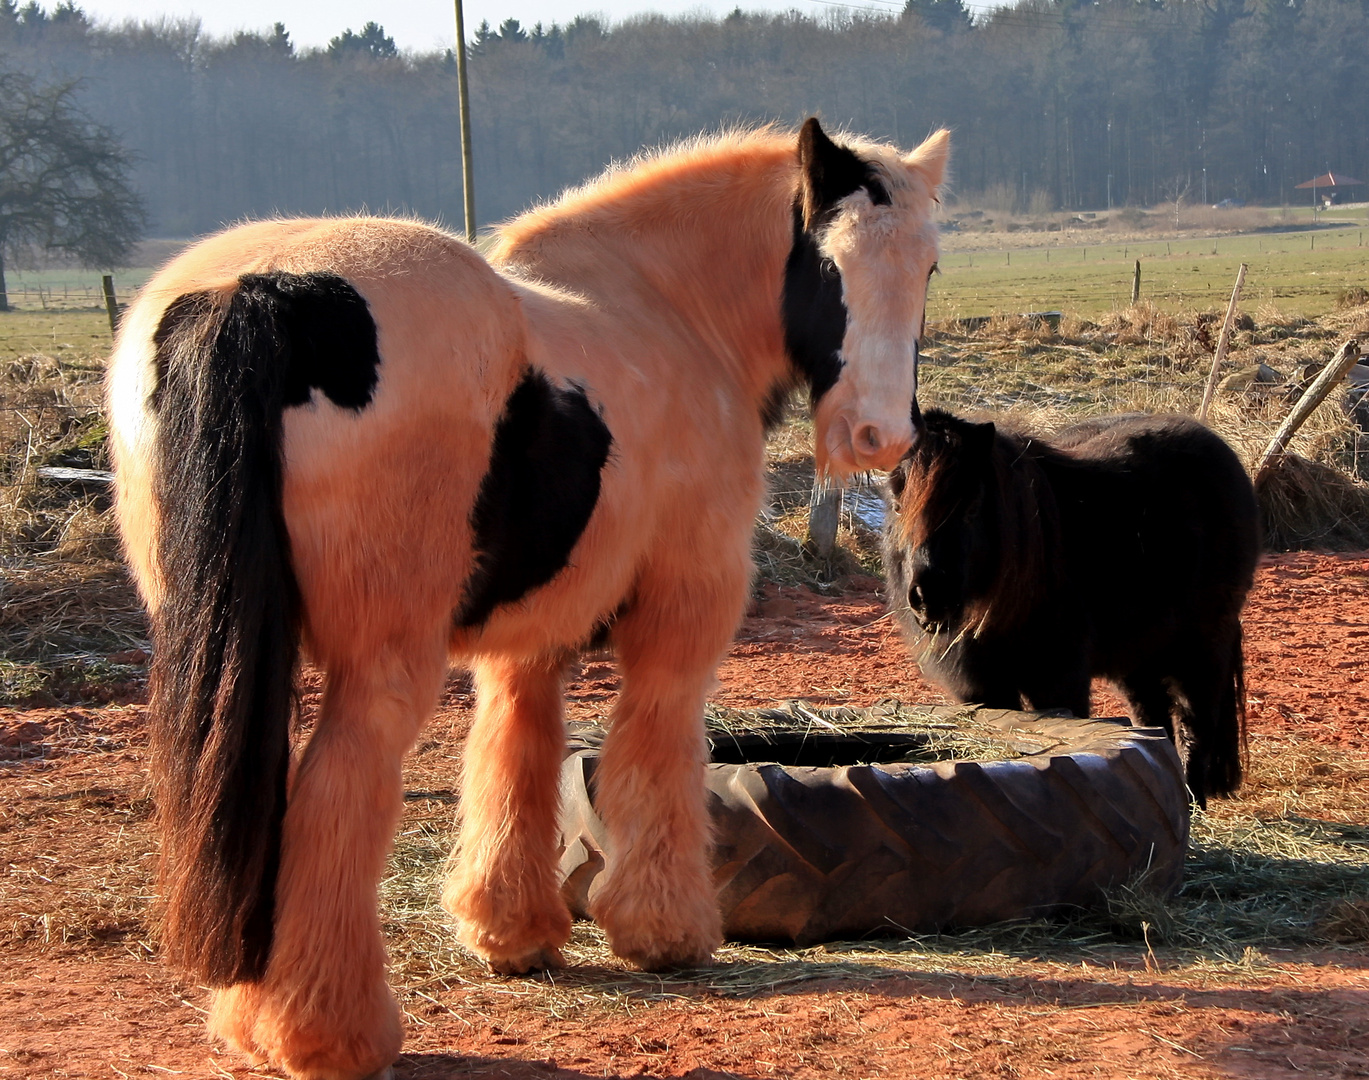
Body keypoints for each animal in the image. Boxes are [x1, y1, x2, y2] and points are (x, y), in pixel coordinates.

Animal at [106, 119, 947, 1078]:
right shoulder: (682, 611)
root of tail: (260, 291)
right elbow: (657, 751)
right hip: (380, 666)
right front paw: (663, 931)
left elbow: (517, 752)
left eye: (926, 266)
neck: (662, 307)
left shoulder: (531, 640)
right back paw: (329, 1034)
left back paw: (258, 1023)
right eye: (829, 262)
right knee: (332, 799)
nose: (878, 435)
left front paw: (512, 932)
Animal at [887, 407, 1259, 804]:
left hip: (1203, 646)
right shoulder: (981, 688)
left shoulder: (1057, 680)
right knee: (1153, 719)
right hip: (1139, 656)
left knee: (1195, 723)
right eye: (897, 505)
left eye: (971, 507)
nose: (928, 596)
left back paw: (1192, 801)